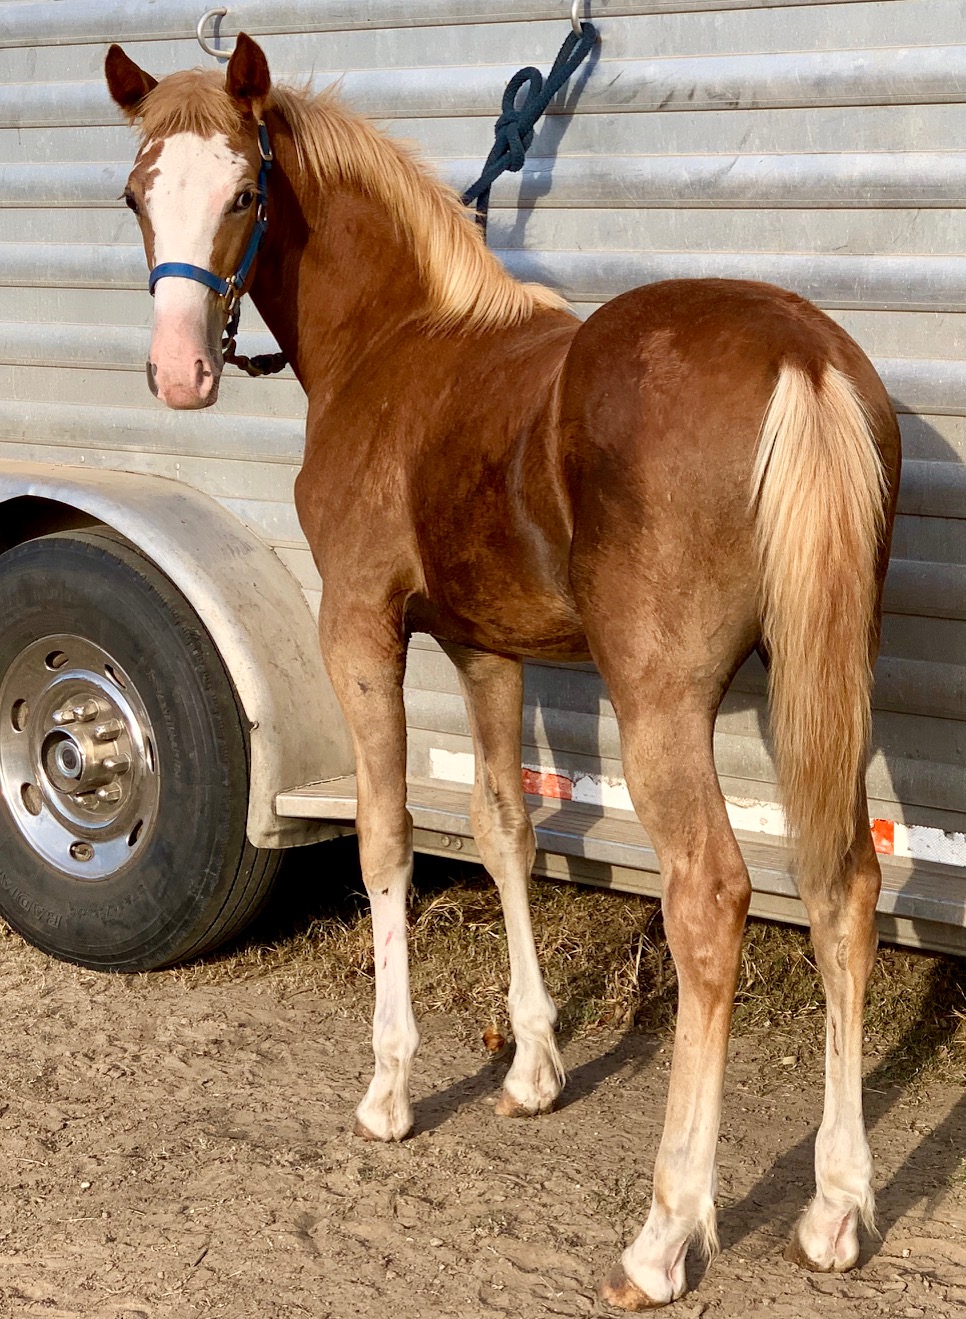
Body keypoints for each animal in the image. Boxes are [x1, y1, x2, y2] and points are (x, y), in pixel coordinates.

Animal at [109, 33, 902, 1308]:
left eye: (241, 192)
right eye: (137, 193)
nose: (179, 372)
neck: (399, 343)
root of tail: (805, 357)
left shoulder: (360, 629)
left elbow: (387, 835)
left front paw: (389, 1086)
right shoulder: (486, 648)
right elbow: (502, 828)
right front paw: (532, 1066)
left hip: (663, 700)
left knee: (710, 899)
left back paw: (666, 1230)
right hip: (819, 677)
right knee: (844, 888)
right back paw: (833, 1206)